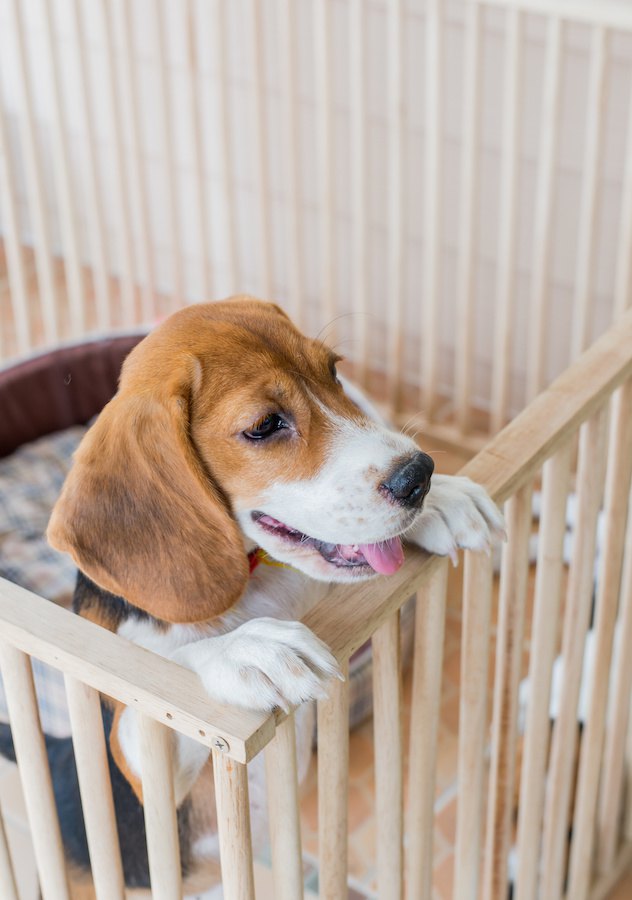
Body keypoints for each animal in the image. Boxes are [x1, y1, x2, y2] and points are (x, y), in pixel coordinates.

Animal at [42, 298, 502, 892]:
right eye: (264, 426)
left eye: (334, 372)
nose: (419, 476)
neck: (251, 586)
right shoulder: (149, 781)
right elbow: (164, 680)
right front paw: (248, 650)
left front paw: (445, 501)